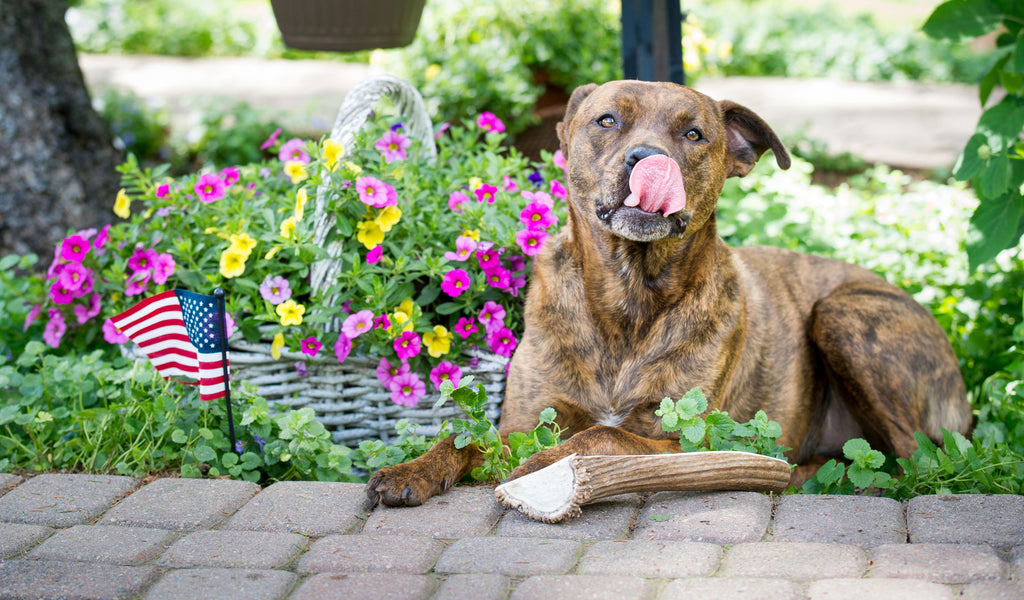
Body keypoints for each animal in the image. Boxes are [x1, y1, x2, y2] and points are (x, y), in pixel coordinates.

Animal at [364, 79, 970, 503]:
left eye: (694, 134)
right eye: (607, 120)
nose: (647, 159)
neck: (627, 300)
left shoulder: (685, 440)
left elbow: (601, 438)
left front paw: (545, 466)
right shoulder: (528, 418)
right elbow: (464, 440)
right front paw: (410, 469)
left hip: (842, 316)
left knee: (911, 460)